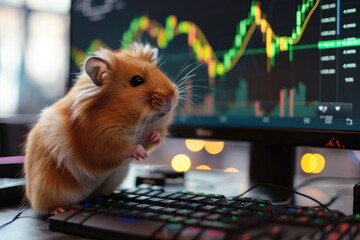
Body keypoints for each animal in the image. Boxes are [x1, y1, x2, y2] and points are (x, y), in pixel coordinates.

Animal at [23, 43, 179, 214]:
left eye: (159, 71)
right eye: (136, 80)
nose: (171, 95)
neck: (137, 123)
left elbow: (153, 137)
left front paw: (154, 137)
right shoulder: (98, 140)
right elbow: (118, 149)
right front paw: (140, 153)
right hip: (47, 190)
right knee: (45, 206)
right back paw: (59, 210)